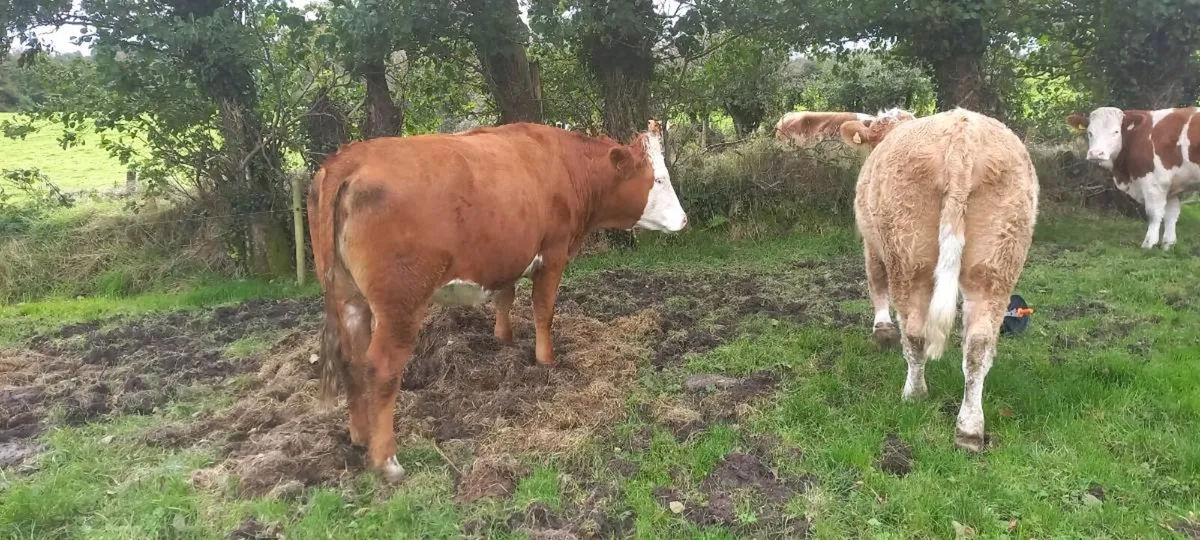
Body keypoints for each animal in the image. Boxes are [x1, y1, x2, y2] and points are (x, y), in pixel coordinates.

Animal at [307, 120, 688, 480]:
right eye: (659, 180)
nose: (684, 219)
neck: (565, 164)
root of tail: (352, 157)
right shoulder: (553, 253)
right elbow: (543, 310)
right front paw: (546, 360)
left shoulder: (510, 254)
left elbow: (506, 297)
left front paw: (504, 339)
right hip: (400, 304)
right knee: (381, 368)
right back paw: (386, 459)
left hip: (348, 297)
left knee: (350, 359)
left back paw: (360, 435)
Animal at [841, 108, 1039, 451]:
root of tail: (963, 134)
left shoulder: (871, 244)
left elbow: (875, 282)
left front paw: (881, 331)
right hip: (996, 261)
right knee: (978, 345)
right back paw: (969, 430)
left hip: (909, 256)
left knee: (915, 333)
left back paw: (914, 394)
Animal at [1066, 107, 1200, 249]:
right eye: (1090, 132)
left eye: (1116, 131)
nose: (1096, 153)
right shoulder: (1174, 186)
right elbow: (1171, 215)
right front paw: (1168, 245)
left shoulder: (1154, 182)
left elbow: (1154, 214)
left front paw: (1148, 244)